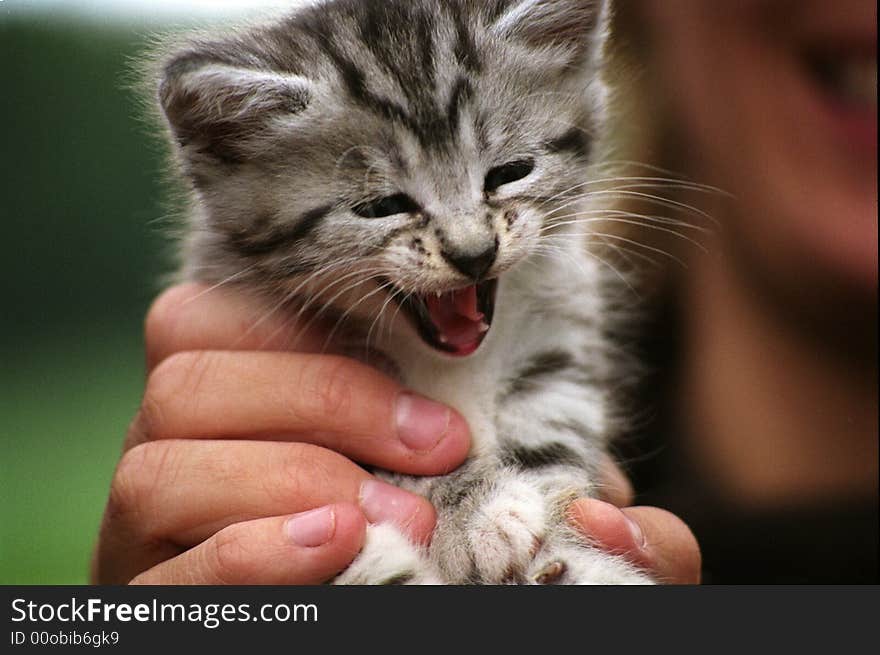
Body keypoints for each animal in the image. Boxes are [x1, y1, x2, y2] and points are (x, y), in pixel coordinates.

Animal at [153, 0, 648, 584]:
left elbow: (549, 434)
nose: (474, 253)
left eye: (510, 172)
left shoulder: (558, 341)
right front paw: (483, 512)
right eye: (382, 206)